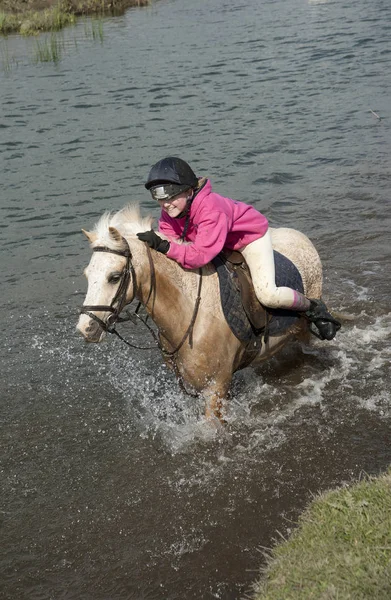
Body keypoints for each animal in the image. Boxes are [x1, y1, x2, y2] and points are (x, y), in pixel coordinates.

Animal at [76, 204, 322, 420]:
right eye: (87, 274)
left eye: (114, 277)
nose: (86, 328)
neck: (190, 314)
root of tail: (302, 238)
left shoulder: (216, 388)